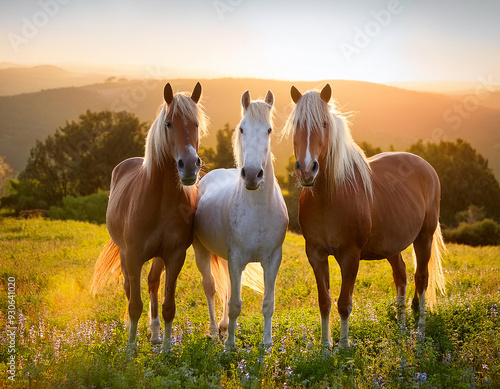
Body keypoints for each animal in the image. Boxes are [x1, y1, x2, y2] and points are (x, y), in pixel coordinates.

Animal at [90, 82, 207, 348]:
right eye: (169, 123)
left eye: (196, 124)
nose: (189, 165)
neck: (161, 201)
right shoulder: (133, 256)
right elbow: (135, 304)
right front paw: (130, 349)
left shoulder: (174, 256)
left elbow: (168, 306)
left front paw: (166, 349)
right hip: (125, 255)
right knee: (129, 288)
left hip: (158, 257)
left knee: (153, 282)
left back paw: (154, 335)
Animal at [194, 91, 290, 348]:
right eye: (242, 129)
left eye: (268, 130)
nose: (252, 174)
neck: (257, 211)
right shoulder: (237, 260)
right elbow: (235, 304)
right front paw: (229, 346)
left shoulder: (272, 260)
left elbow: (268, 304)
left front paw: (267, 344)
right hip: (201, 251)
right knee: (210, 287)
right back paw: (214, 330)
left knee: (226, 287)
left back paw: (224, 327)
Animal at [284, 83, 448, 348]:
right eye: (297, 124)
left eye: (324, 124)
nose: (307, 170)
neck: (329, 197)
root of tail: (427, 167)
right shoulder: (316, 255)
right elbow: (324, 301)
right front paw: (325, 347)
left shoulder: (350, 256)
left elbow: (344, 303)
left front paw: (343, 347)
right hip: (392, 245)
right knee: (401, 275)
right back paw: (401, 329)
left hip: (424, 237)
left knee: (421, 278)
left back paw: (420, 333)